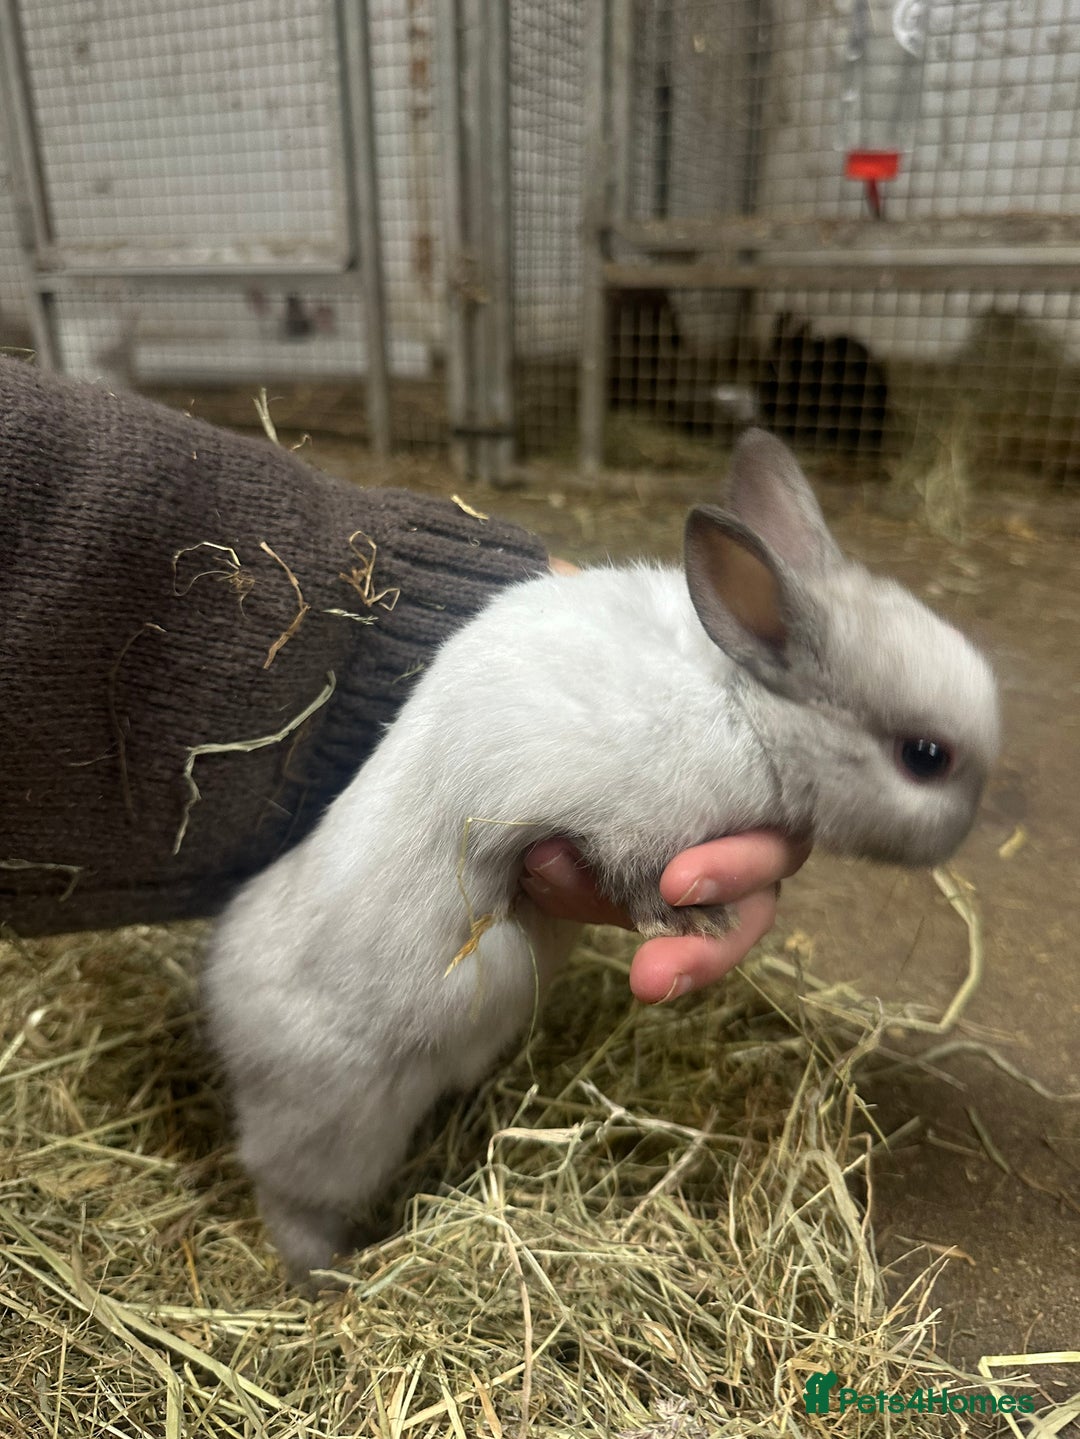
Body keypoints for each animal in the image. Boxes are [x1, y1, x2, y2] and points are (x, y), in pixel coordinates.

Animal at [203, 428, 1000, 1279]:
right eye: (925, 757)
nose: (966, 830)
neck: (743, 705)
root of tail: (221, 1007)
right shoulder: (619, 825)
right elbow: (635, 880)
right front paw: (697, 922)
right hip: (335, 1124)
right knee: (288, 1196)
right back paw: (328, 1275)